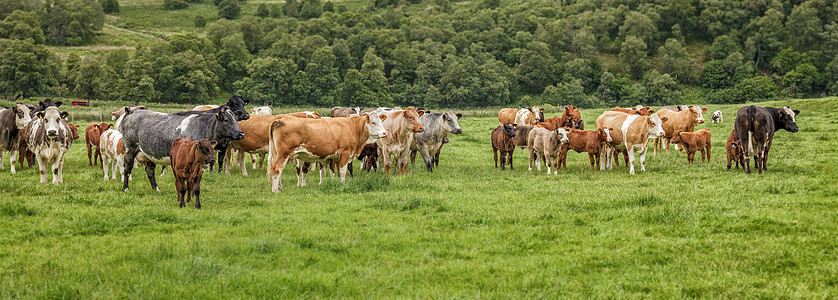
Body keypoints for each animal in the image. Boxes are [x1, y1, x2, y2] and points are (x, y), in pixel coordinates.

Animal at [120, 104, 248, 191]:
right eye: (226, 120)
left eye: (236, 119)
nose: (241, 134)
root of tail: (133, 111)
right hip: (129, 149)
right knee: (127, 168)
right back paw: (125, 188)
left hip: (150, 153)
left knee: (150, 171)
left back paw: (156, 189)